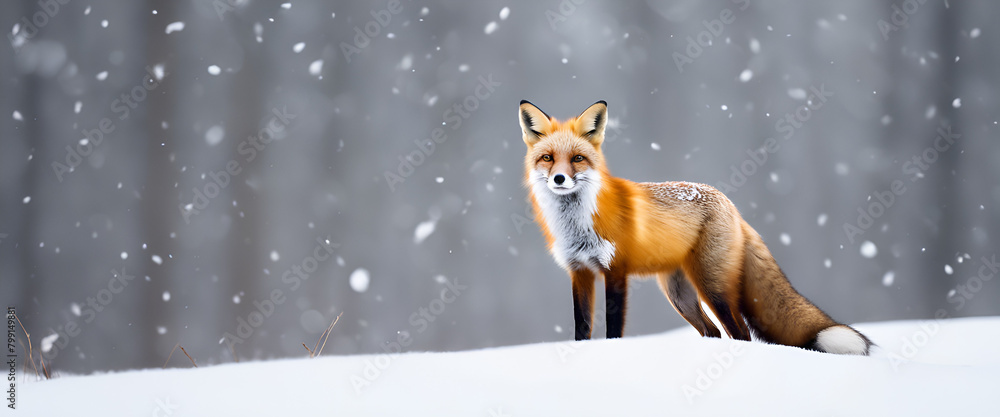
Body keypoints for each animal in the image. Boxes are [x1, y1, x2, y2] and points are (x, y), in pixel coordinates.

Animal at [519, 99, 873, 355]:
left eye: (577, 159)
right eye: (548, 158)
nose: (559, 179)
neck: (578, 224)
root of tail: (731, 204)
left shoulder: (615, 271)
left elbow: (613, 328)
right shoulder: (579, 271)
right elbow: (582, 328)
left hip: (712, 287)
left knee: (740, 333)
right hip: (680, 295)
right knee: (712, 331)